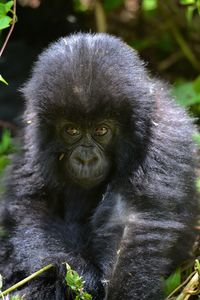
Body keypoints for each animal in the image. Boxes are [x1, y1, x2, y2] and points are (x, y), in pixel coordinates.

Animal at [0, 33, 198, 300]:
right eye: (71, 130)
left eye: (101, 130)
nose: (86, 159)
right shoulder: (34, 133)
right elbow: (32, 206)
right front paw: (81, 275)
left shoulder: (163, 135)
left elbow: (133, 226)